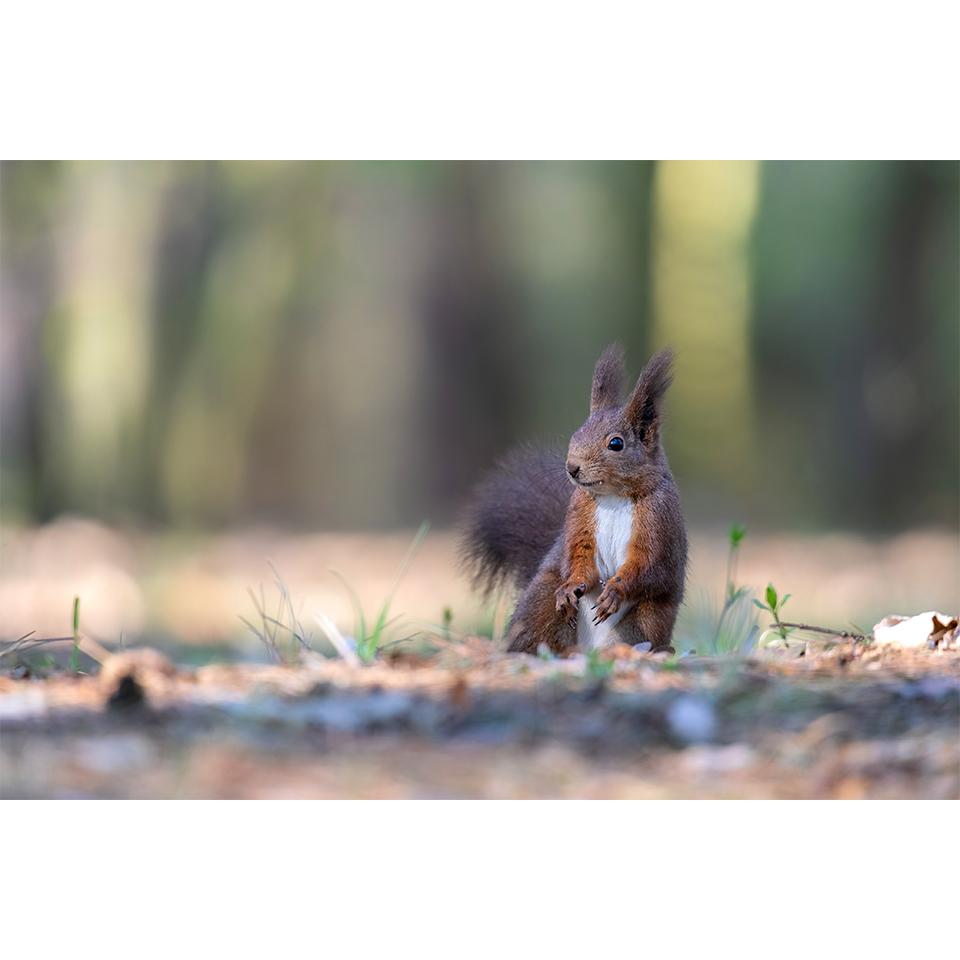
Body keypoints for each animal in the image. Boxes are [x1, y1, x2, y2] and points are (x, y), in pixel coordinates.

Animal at [460, 344, 687, 655]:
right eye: (576, 434)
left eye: (616, 443)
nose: (572, 467)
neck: (613, 496)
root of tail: (586, 651)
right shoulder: (580, 514)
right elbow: (578, 556)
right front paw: (572, 587)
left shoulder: (659, 518)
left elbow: (649, 565)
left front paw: (615, 590)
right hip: (541, 602)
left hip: (648, 618)